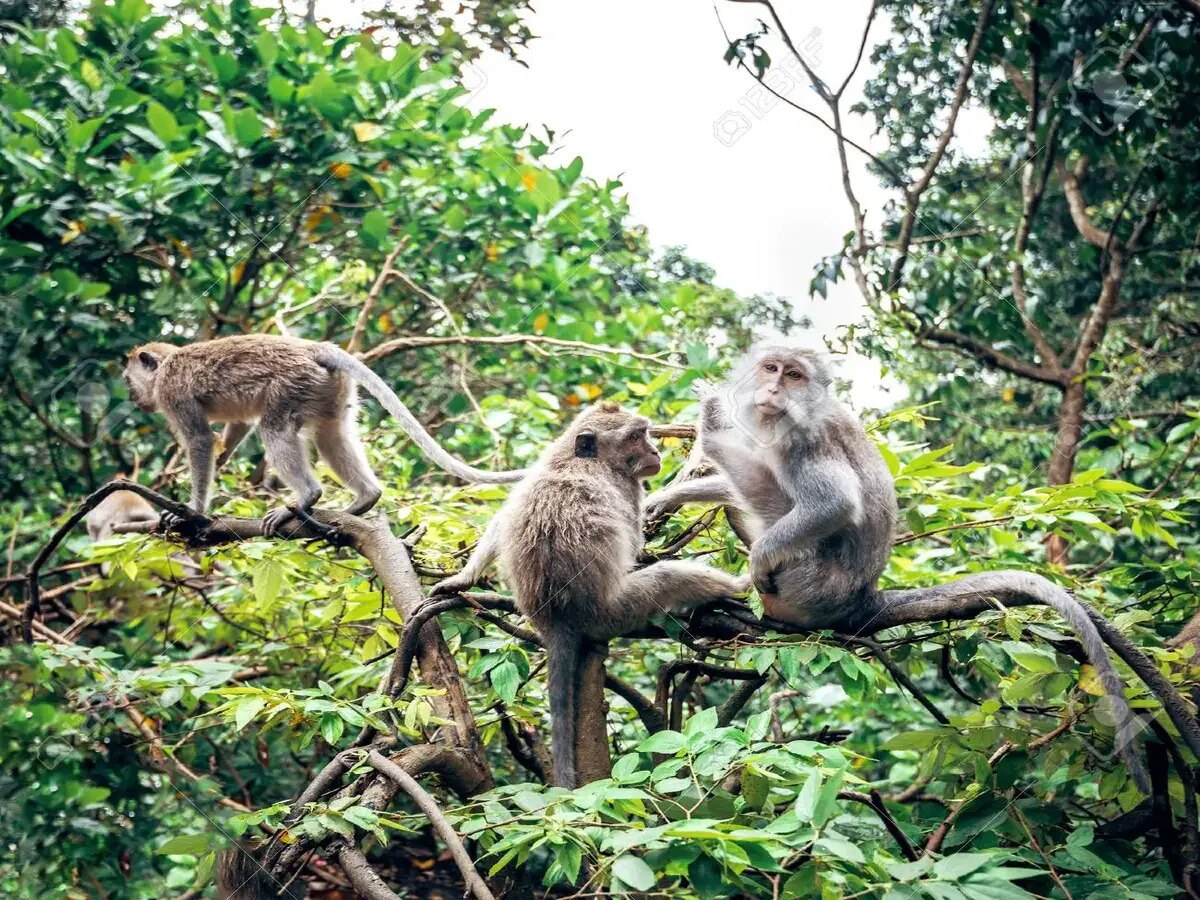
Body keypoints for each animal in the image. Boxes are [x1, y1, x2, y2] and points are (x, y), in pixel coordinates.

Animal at [120, 336, 525, 535]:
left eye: (127, 378)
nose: (131, 396)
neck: (168, 364)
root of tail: (312, 349)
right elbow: (239, 424)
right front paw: (222, 457)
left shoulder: (172, 393)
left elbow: (201, 441)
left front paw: (192, 510)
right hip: (330, 389)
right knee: (331, 434)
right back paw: (365, 498)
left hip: (293, 383)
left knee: (275, 429)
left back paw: (307, 497)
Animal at [432, 400, 748, 787]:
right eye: (635, 437)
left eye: (645, 433)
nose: (655, 452)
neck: (581, 459)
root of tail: (556, 618)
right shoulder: (626, 489)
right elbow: (633, 546)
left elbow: (504, 518)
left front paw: (462, 578)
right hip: (613, 613)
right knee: (665, 578)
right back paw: (737, 587)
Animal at [648, 343, 1152, 787]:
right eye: (771, 367)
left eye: (793, 375)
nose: (772, 389)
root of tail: (865, 597)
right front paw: (669, 496)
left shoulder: (804, 441)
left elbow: (833, 503)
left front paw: (714, 418)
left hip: (808, 584)